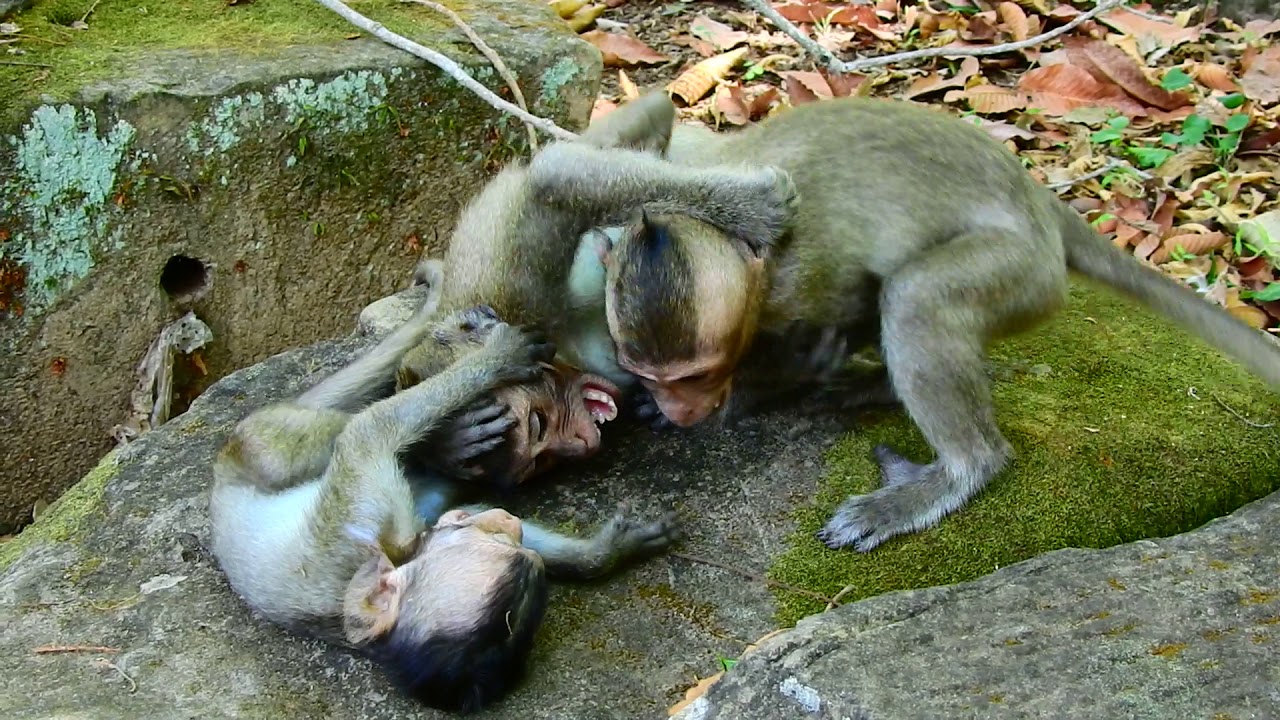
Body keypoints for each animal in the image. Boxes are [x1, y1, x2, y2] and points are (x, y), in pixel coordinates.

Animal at [209, 282, 679, 713]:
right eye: (497, 544)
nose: (506, 524)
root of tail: (222, 472)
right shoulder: (365, 515)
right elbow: (369, 433)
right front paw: (496, 358)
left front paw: (606, 551)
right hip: (272, 442)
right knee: (345, 432)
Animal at [396, 92, 800, 456]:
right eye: (538, 457)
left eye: (536, 422)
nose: (573, 444)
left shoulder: (517, 291)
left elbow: (554, 175)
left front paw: (756, 206)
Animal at [528, 93, 1280, 553]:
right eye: (650, 372)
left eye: (696, 375)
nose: (682, 409)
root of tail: (1038, 196)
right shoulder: (681, 167)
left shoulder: (808, 275)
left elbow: (851, 304)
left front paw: (762, 387)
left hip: (1025, 271)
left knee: (916, 296)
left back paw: (955, 468)